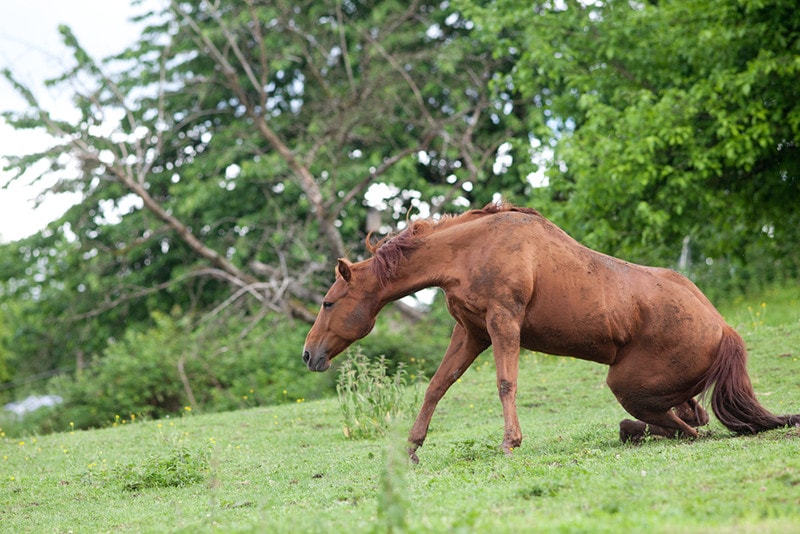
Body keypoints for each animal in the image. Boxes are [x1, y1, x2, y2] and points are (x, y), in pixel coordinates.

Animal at [304, 203, 796, 462]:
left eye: (328, 302)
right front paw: (412, 446)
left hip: (626, 384)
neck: (470, 250)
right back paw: (632, 431)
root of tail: (724, 329)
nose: (310, 355)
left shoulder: (503, 322)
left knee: (690, 430)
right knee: (691, 419)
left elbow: (506, 383)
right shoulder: (471, 332)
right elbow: (436, 386)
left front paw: (510, 441)